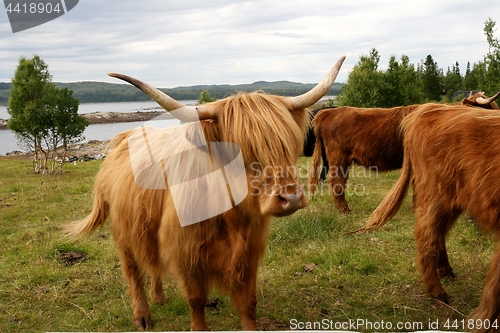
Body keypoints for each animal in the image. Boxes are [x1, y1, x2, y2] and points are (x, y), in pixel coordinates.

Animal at [62, 55, 346, 328]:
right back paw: (142, 316)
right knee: (133, 270)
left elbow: (248, 303)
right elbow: (196, 301)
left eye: (286, 144)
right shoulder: (185, 255)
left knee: (152, 263)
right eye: (239, 150)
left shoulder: (249, 253)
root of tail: (125, 136)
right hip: (123, 232)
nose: (291, 198)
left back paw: (159, 297)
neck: (231, 219)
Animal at [358, 102, 500, 330]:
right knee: (427, 237)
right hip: (435, 194)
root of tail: (430, 108)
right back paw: (438, 294)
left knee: (438, 233)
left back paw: (445, 271)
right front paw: (482, 322)